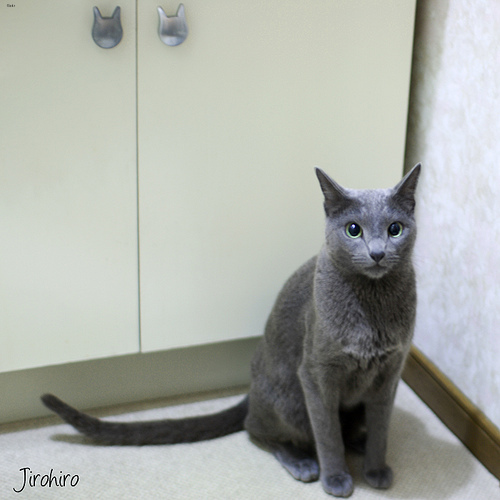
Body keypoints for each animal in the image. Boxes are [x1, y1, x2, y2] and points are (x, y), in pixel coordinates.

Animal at [42, 163, 421, 498]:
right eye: (353, 230)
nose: (377, 253)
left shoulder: (390, 371)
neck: (372, 307)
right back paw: (302, 462)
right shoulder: (317, 373)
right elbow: (326, 434)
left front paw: (376, 469)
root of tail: (251, 390)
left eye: (395, 229)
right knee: (257, 429)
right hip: (293, 402)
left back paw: (357, 441)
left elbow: (382, 427)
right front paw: (337, 479)